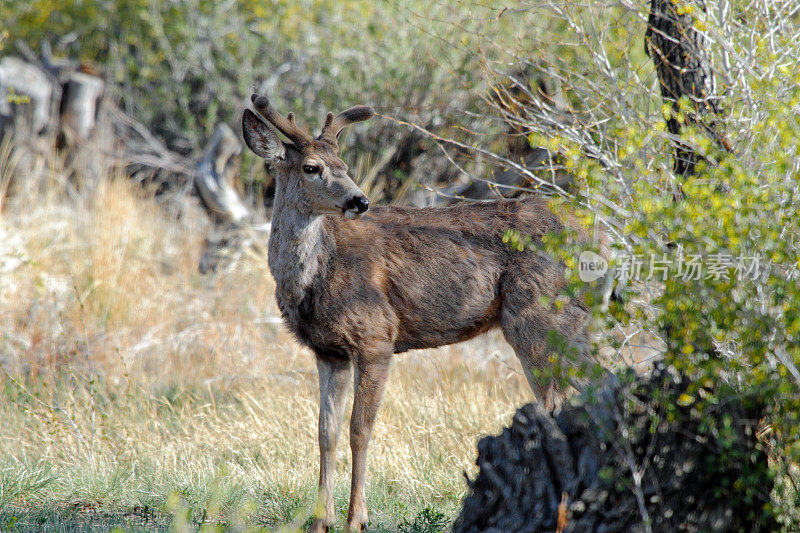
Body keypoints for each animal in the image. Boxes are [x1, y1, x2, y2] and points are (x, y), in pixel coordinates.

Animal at [241, 95, 604, 532]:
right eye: (312, 167)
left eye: (344, 164)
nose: (360, 201)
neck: (315, 275)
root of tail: (595, 237)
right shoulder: (328, 351)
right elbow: (325, 432)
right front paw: (319, 521)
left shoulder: (376, 336)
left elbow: (359, 429)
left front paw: (356, 519)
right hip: (565, 326)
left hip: (540, 320)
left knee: (570, 399)